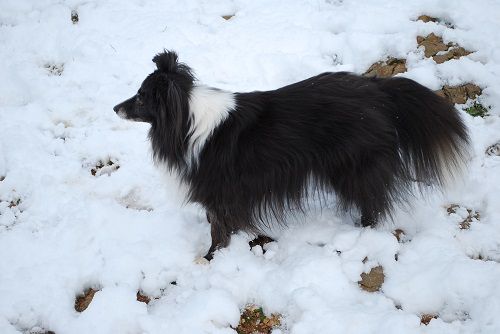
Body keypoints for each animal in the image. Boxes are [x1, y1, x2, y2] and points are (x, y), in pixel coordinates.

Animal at [113, 49, 468, 260]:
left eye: (141, 97)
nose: (116, 108)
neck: (186, 120)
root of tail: (377, 89)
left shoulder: (220, 194)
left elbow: (218, 229)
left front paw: (212, 258)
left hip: (353, 166)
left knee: (373, 202)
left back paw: (360, 232)